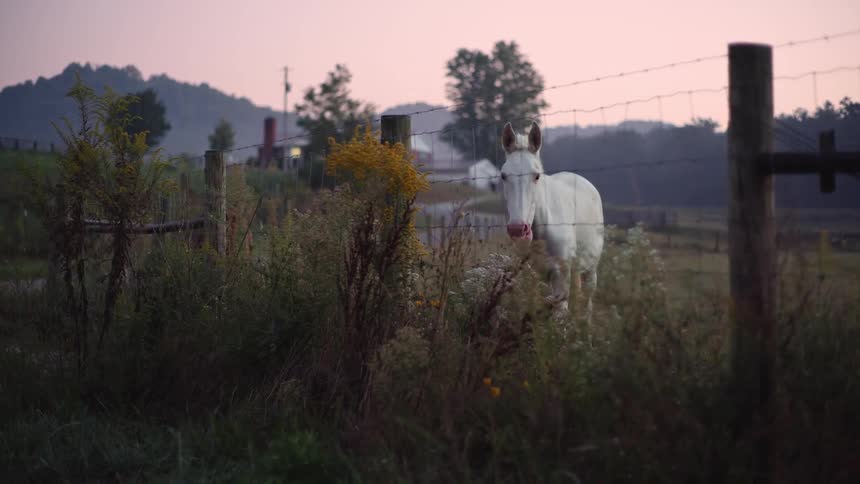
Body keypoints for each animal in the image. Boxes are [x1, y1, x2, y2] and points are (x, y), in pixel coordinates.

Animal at [499, 121, 604, 324]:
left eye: (536, 176)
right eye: (503, 176)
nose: (517, 229)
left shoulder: (560, 275)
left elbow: (560, 316)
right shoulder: (533, 276)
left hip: (590, 268)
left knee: (587, 302)